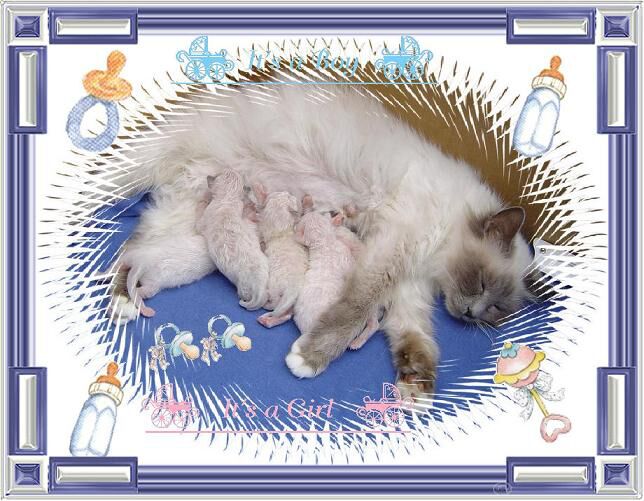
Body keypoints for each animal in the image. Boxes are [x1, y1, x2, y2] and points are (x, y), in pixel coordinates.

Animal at [112, 86, 533, 398]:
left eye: (496, 309)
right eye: (480, 282)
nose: (471, 314)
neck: (435, 263)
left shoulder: (408, 287)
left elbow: (414, 335)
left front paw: (416, 387)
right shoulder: (393, 252)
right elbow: (355, 308)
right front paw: (309, 359)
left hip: (185, 208)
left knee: (133, 250)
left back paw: (124, 301)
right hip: (153, 172)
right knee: (129, 246)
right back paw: (123, 304)